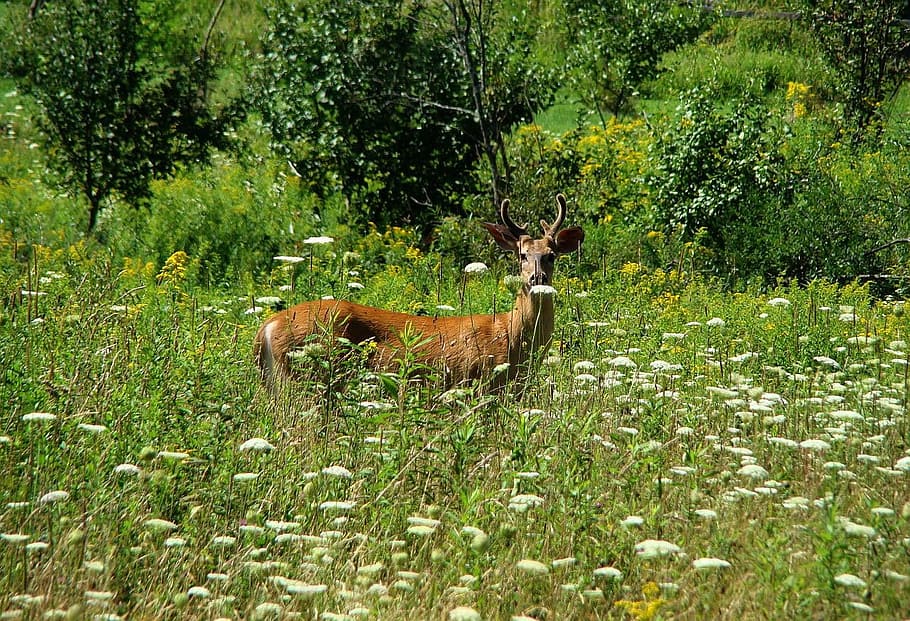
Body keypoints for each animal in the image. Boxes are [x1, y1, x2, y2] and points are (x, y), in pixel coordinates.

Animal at [253, 194, 584, 390]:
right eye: (521, 255)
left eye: (551, 255)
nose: (537, 277)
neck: (511, 335)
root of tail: (267, 327)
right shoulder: (476, 383)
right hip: (309, 377)